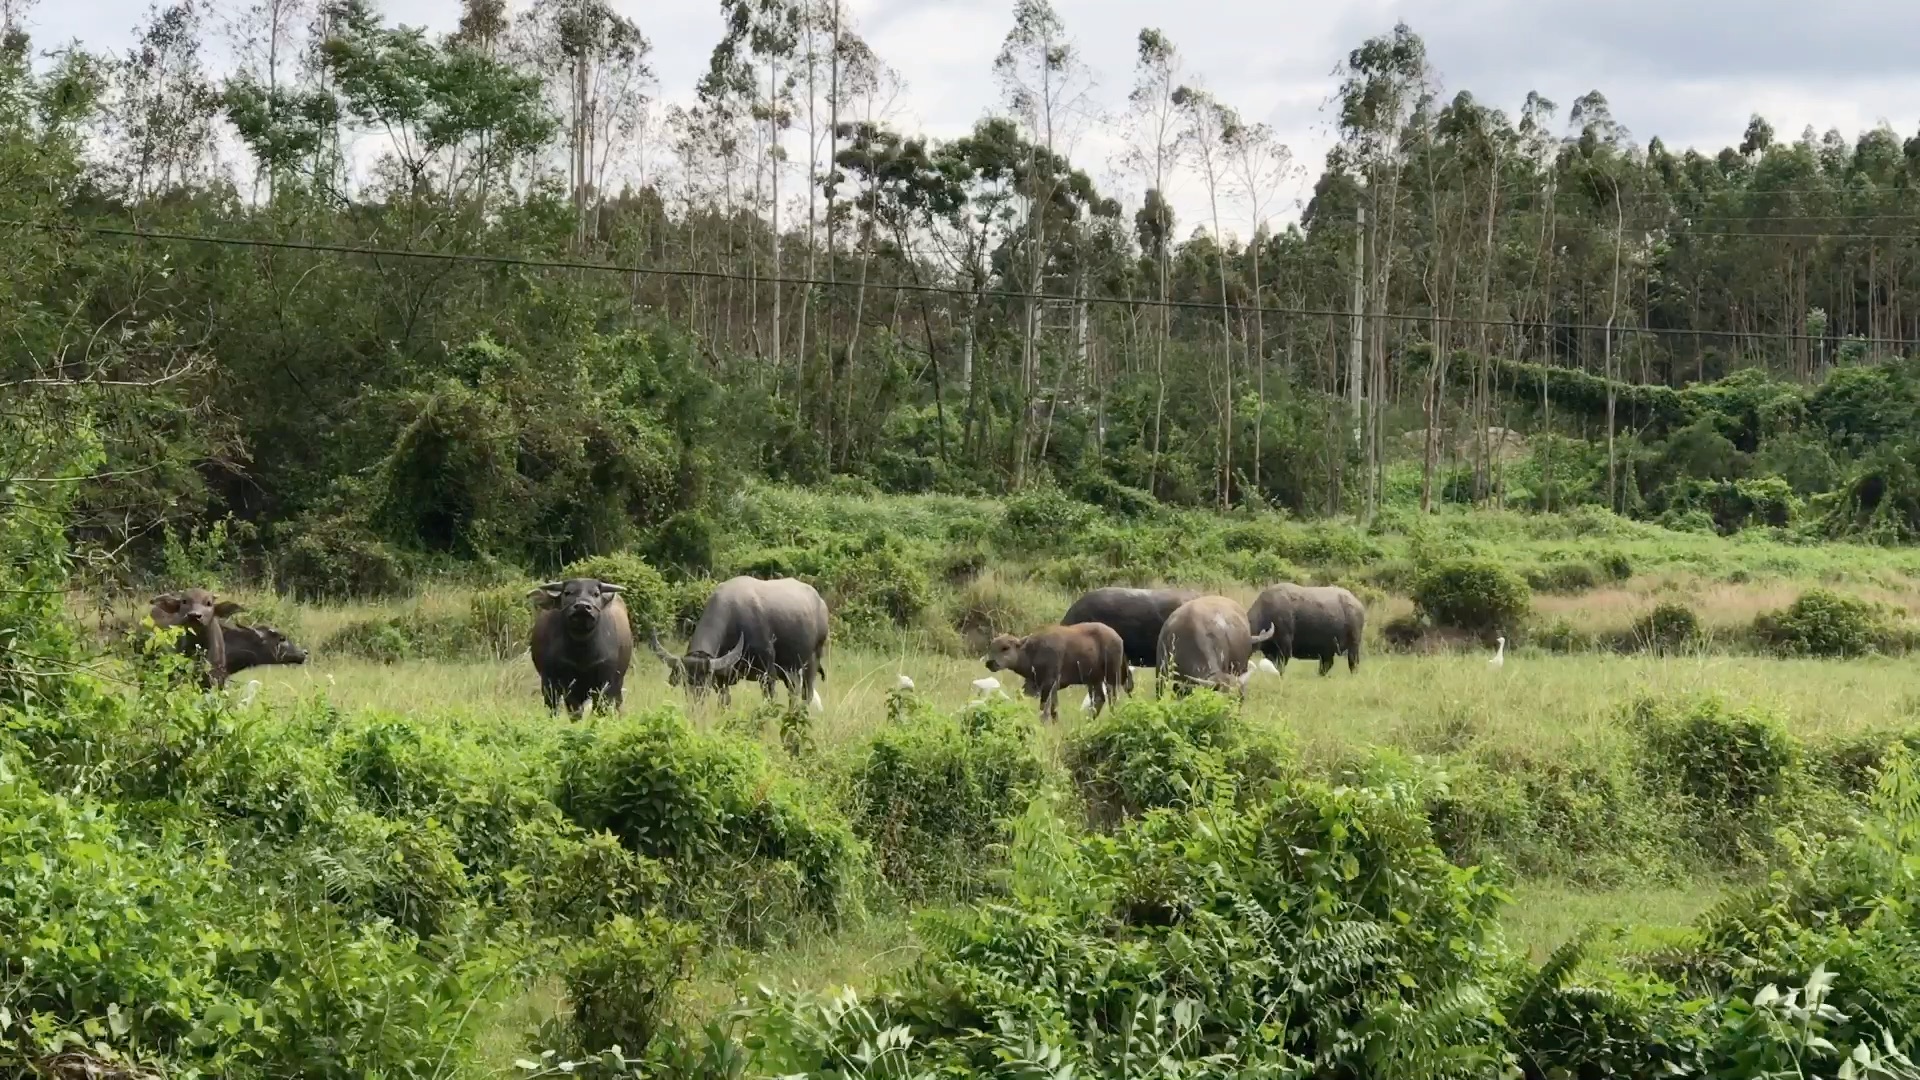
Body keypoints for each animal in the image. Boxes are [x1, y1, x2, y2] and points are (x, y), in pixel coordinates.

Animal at [529, 576, 633, 718]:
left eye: (596, 593)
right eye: (567, 592)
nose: (582, 607)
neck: (582, 650)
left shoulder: (604, 683)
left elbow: (599, 710)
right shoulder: (556, 682)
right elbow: (573, 711)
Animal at [648, 572, 829, 707]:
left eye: (705, 685)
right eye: (685, 684)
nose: (695, 707)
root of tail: (821, 603)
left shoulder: (767, 675)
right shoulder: (721, 681)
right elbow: (724, 704)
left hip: (811, 663)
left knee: (806, 694)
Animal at [983, 618, 1128, 718]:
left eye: (1005, 648)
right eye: (990, 648)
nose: (990, 663)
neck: (1032, 651)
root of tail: (1118, 637)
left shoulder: (1048, 684)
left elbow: (1044, 709)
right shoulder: (1051, 688)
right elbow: (1054, 710)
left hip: (1111, 676)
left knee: (1113, 698)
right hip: (1094, 679)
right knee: (1100, 699)